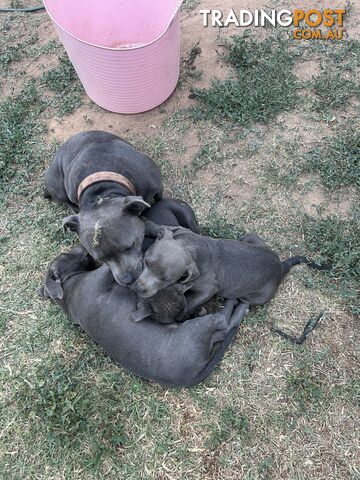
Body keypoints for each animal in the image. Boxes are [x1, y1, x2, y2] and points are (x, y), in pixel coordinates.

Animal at [38, 248, 249, 386]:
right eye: (66, 256)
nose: (82, 249)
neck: (68, 289)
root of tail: (192, 376)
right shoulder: (100, 278)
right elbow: (109, 269)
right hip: (196, 330)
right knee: (224, 322)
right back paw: (238, 303)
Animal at [43, 130, 164, 284]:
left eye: (130, 246)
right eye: (100, 259)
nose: (127, 280)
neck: (102, 191)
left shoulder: (157, 186)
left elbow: (160, 198)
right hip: (59, 188)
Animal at [133, 228, 330, 318]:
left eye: (166, 279)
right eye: (146, 261)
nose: (137, 289)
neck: (192, 248)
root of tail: (281, 267)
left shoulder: (208, 289)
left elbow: (191, 302)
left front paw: (185, 313)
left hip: (256, 297)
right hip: (250, 237)